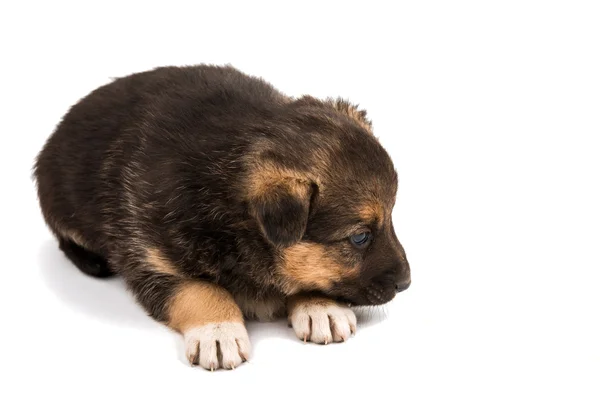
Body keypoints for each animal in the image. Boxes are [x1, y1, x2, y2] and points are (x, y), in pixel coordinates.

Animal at [32, 65, 410, 368]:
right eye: (359, 237)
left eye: (392, 217)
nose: (406, 284)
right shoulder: (149, 257)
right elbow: (198, 289)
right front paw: (218, 332)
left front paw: (321, 307)